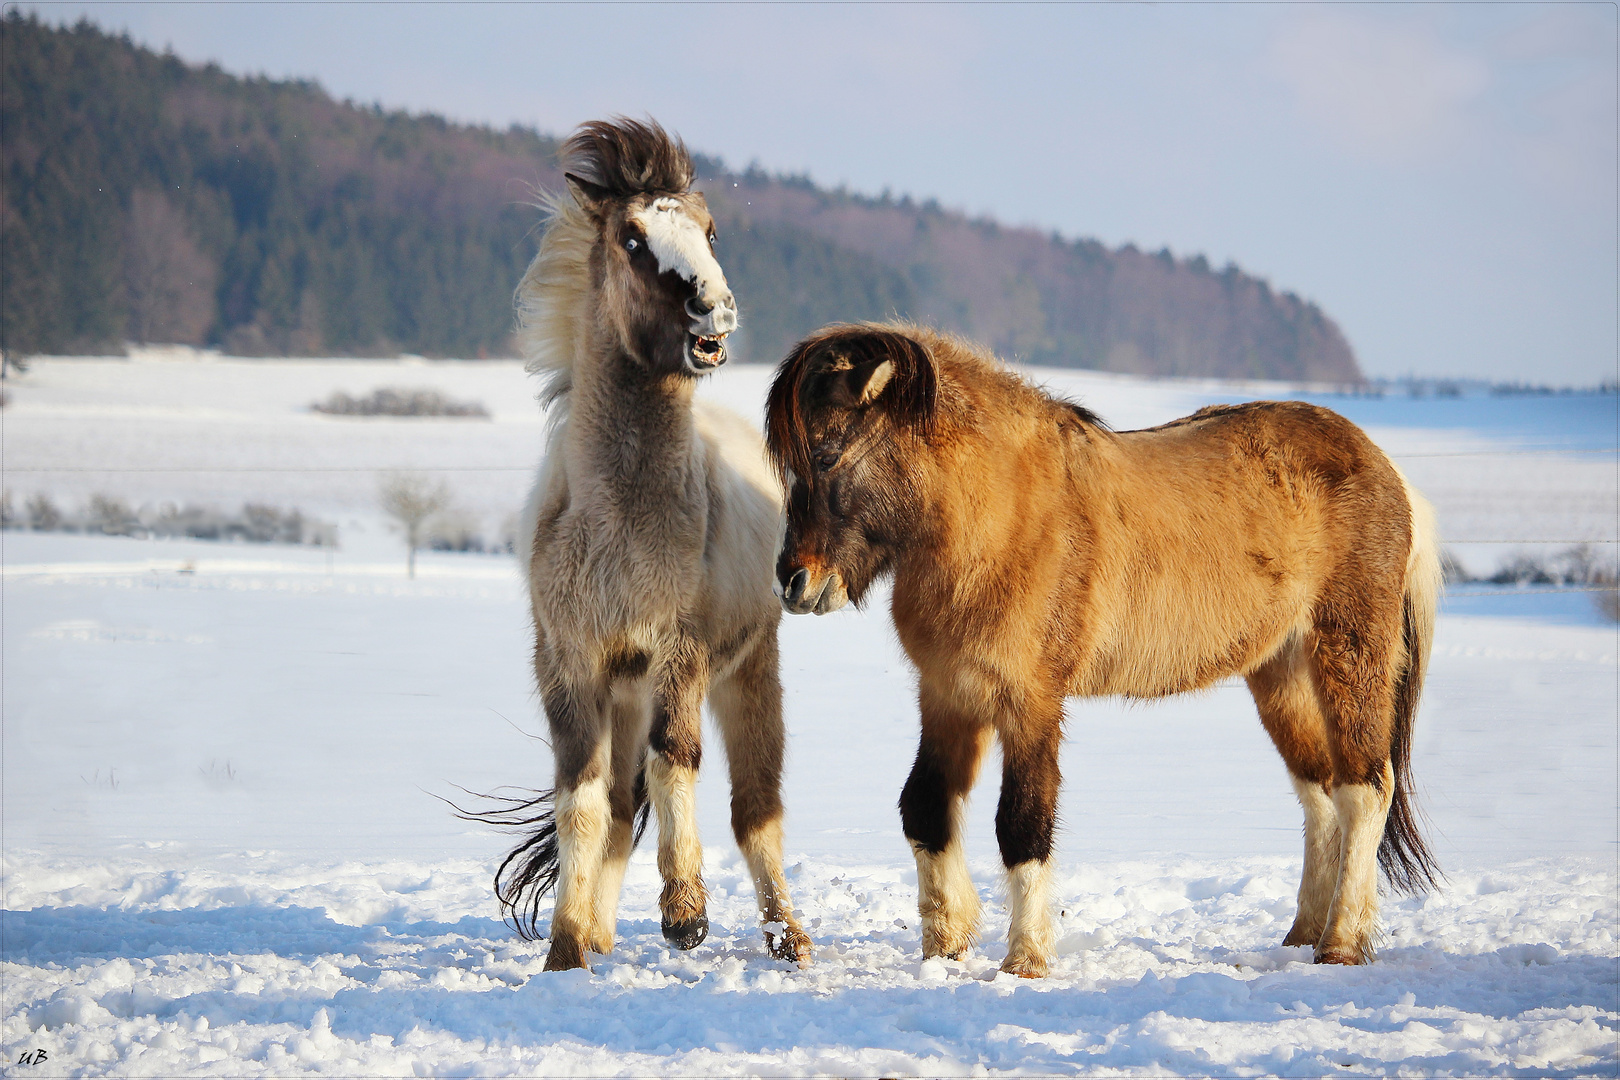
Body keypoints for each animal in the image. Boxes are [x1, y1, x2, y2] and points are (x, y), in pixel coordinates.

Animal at [466, 118, 816, 971]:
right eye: (631, 237)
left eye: (711, 231)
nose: (714, 310)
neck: (620, 523)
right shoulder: (571, 663)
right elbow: (584, 802)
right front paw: (566, 949)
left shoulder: (677, 653)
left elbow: (676, 761)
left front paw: (685, 913)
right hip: (621, 692)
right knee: (622, 805)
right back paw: (597, 929)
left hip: (748, 671)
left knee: (756, 806)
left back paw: (788, 940)